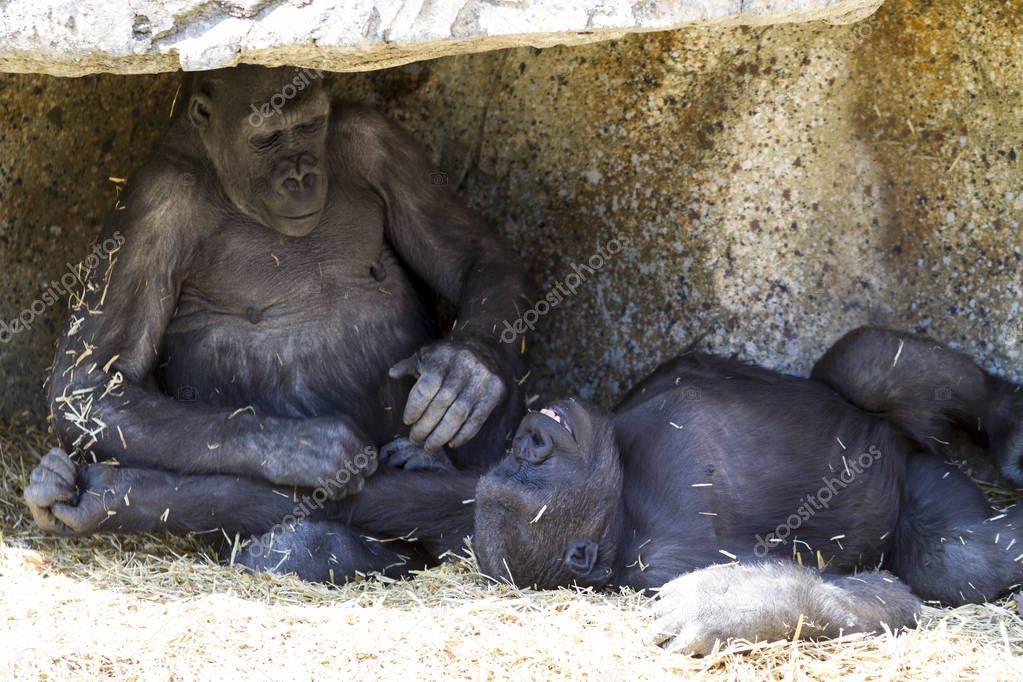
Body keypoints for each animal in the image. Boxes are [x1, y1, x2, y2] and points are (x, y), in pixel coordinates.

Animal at [24, 63, 536, 580]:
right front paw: (306, 450)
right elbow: (89, 385)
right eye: (266, 138)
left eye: (310, 126)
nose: (302, 175)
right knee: (306, 544)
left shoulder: (374, 139)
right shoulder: (154, 206)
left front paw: (462, 370)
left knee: (499, 363)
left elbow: (475, 258)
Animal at [474, 327, 1023, 654]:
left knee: (869, 363)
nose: (530, 437)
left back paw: (1007, 419)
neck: (621, 502)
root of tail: (917, 453)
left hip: (907, 438)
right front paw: (730, 608)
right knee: (962, 557)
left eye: (518, 460)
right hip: (925, 485)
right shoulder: (664, 560)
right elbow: (843, 593)